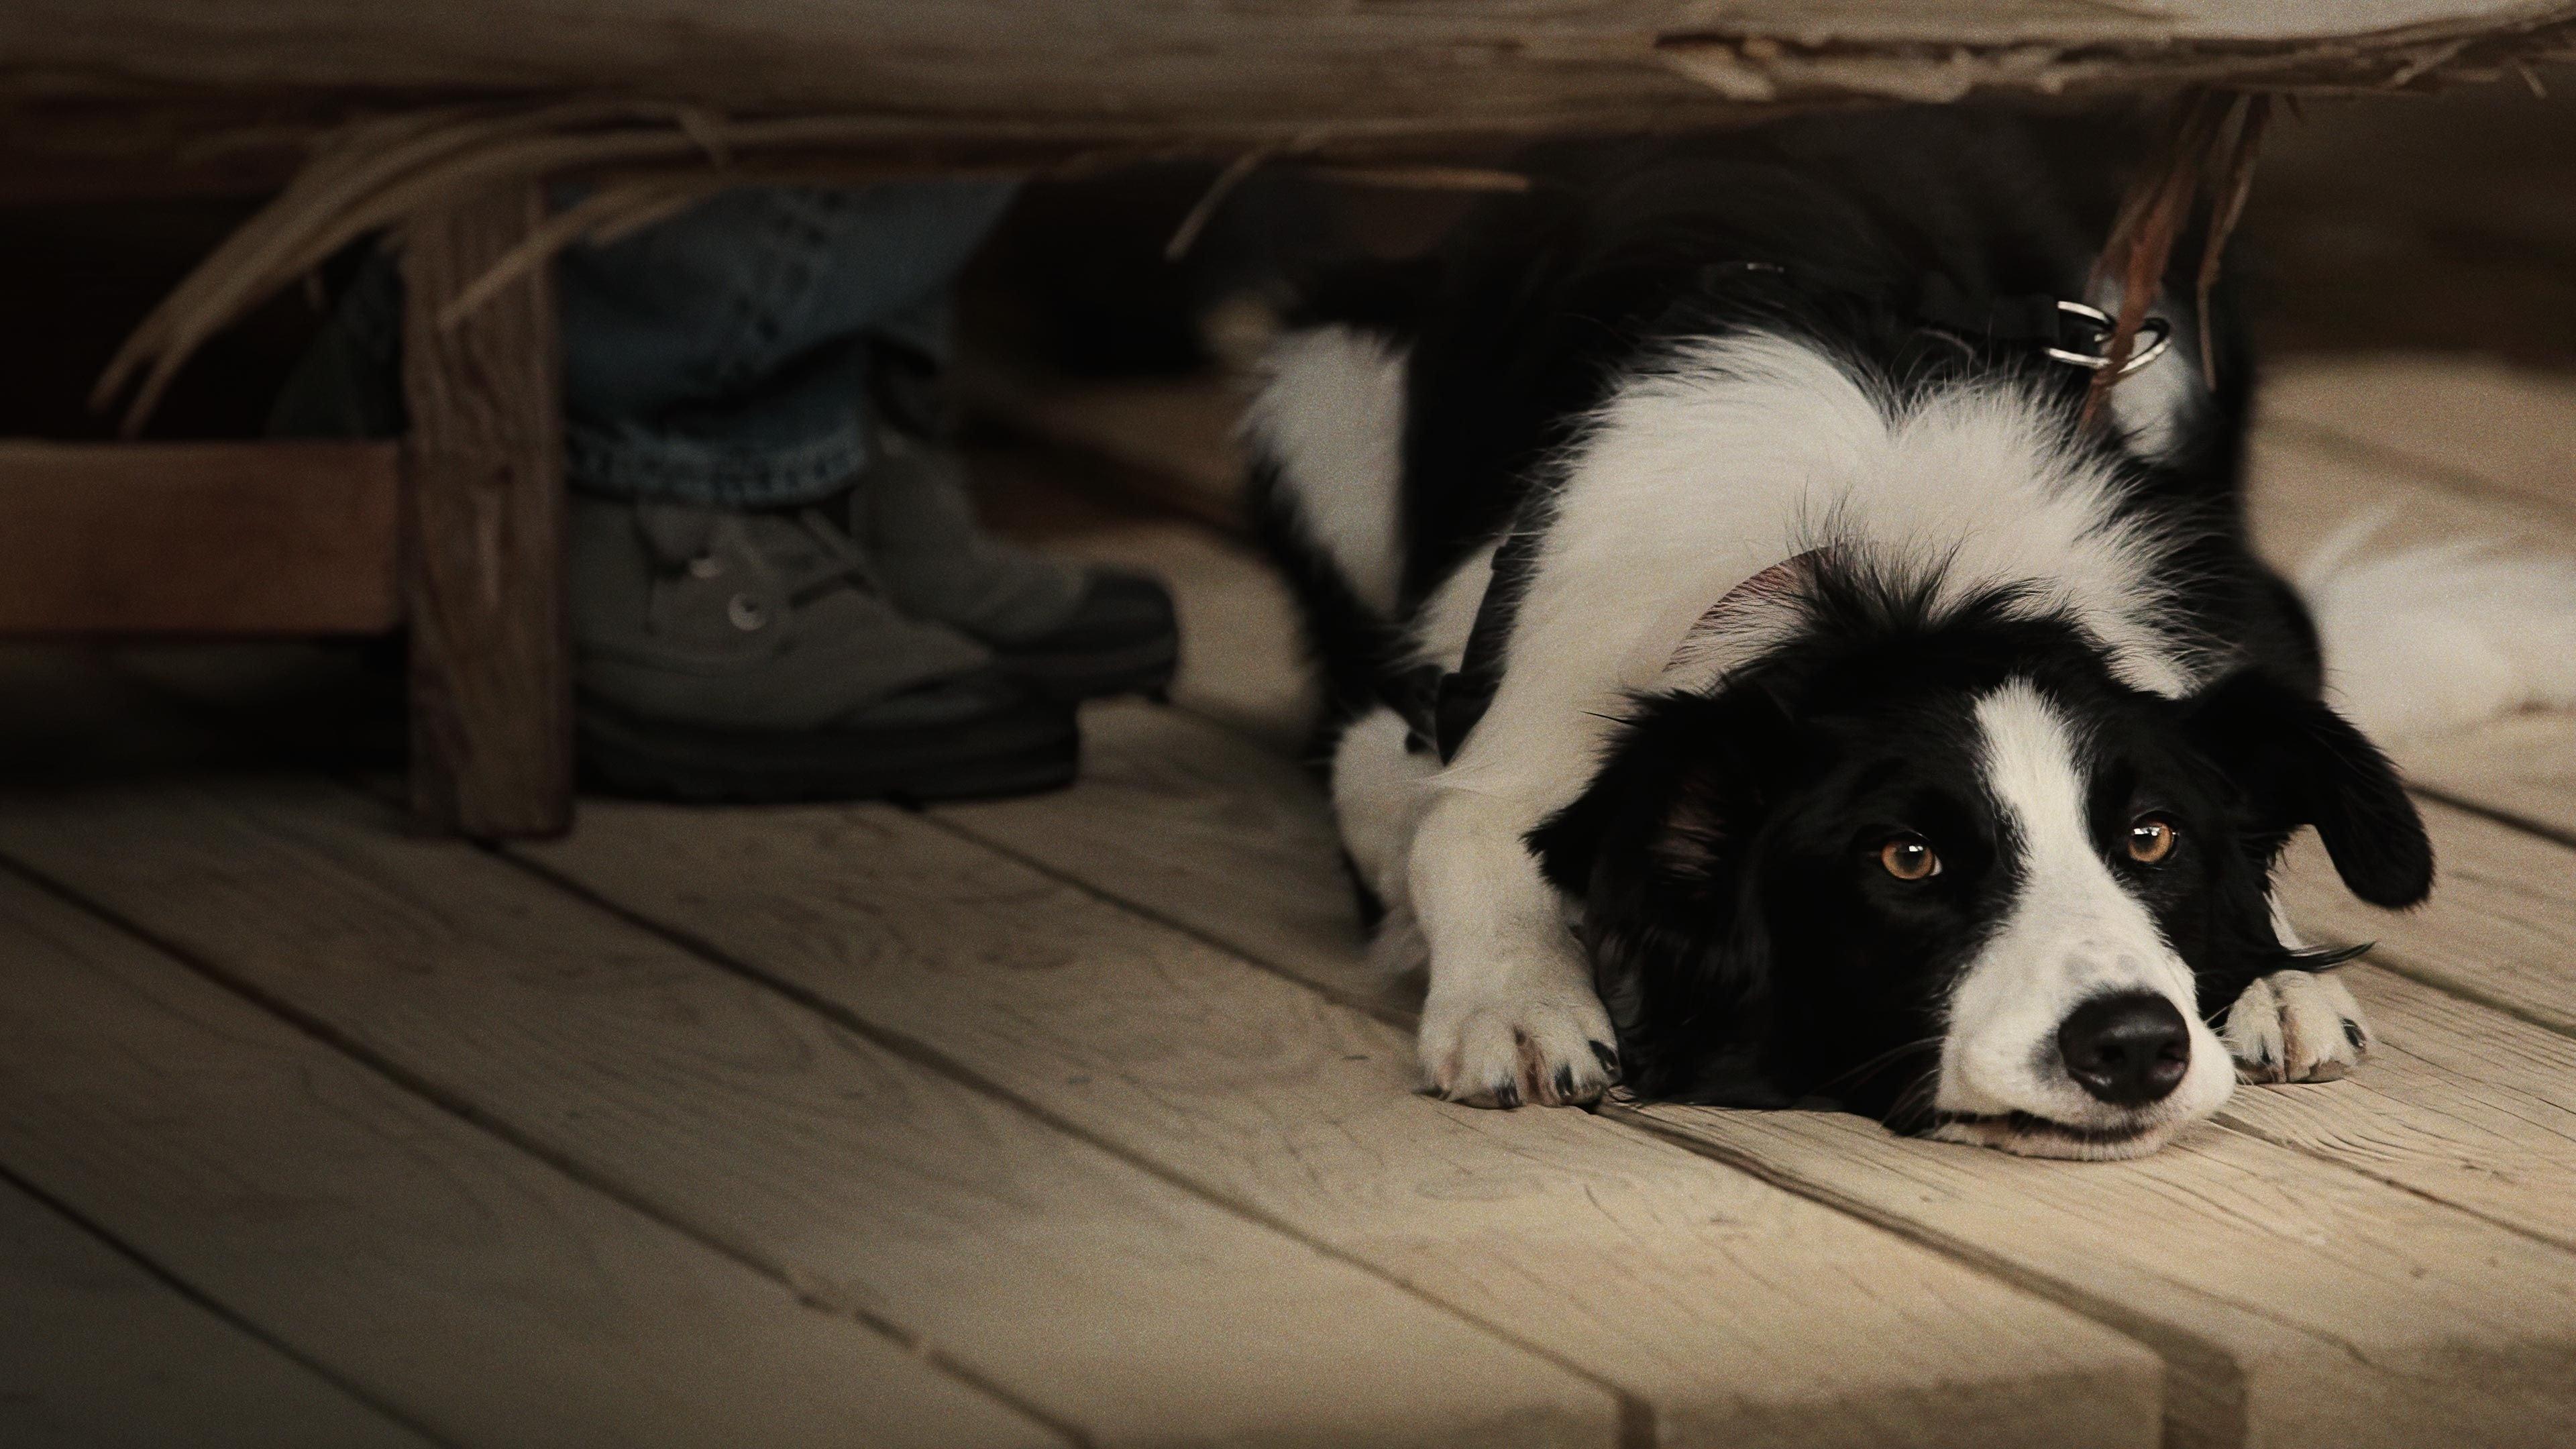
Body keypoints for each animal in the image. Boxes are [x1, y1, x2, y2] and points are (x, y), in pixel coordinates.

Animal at [1246, 107, 2576, 1155]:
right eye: (1909, 860)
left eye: (2150, 837)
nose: (2133, 1045)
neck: (1896, 567)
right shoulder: (1472, 705)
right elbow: (1450, 825)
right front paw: (1516, 1001)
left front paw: (2270, 979)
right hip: (1322, 381)